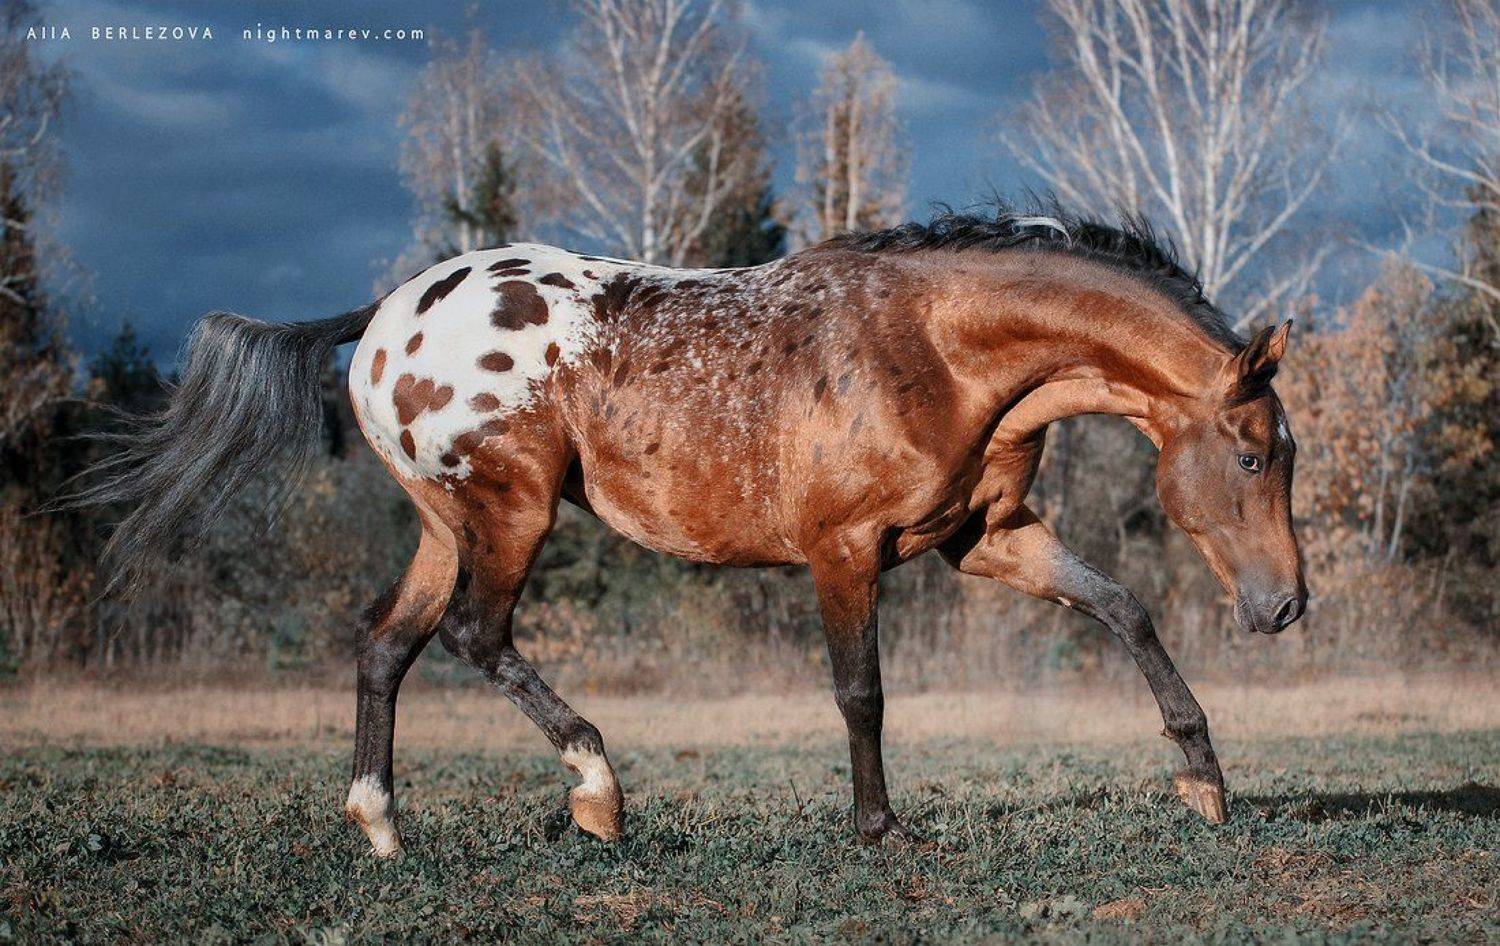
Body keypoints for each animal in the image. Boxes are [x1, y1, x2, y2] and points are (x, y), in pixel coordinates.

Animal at [77, 201, 1307, 857]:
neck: (937, 350)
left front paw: (1204, 781)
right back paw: (597, 792)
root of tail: (385, 315)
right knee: (477, 637)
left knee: (388, 645)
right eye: (1255, 455)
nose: (1285, 605)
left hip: (446, 522)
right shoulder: (845, 550)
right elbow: (861, 692)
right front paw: (880, 829)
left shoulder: (985, 535)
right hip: (511, 511)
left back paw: (383, 826)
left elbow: (1122, 608)